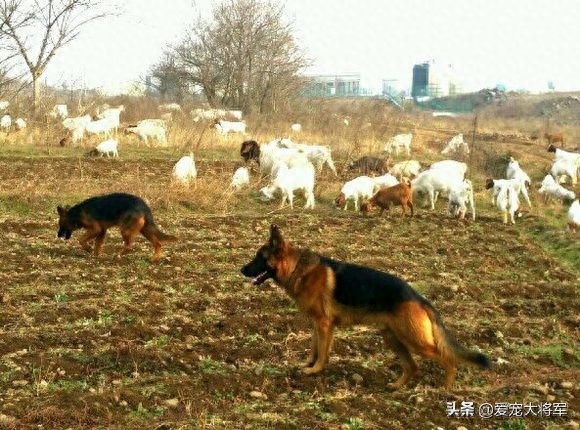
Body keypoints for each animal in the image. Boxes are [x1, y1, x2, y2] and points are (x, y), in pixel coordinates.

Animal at [240, 223, 490, 388]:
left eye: (259, 258)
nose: (240, 270)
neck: (297, 268)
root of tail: (419, 298)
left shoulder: (324, 325)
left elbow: (322, 353)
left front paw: (315, 370)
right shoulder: (316, 325)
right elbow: (314, 348)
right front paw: (308, 365)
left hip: (415, 342)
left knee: (448, 360)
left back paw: (446, 388)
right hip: (392, 338)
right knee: (412, 366)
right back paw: (396, 387)